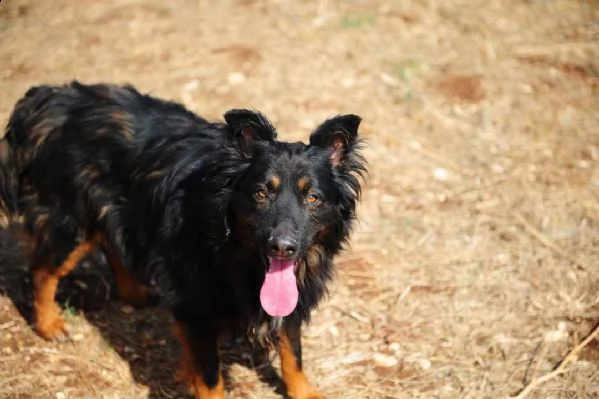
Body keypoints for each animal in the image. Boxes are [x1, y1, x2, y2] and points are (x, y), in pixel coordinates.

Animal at [0, 82, 366, 399]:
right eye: (261, 193)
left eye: (313, 198)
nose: (282, 247)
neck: (233, 251)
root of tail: (51, 99)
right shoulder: (197, 306)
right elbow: (210, 378)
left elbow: (293, 354)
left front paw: (305, 393)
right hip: (70, 222)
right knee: (42, 271)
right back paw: (49, 324)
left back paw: (134, 292)